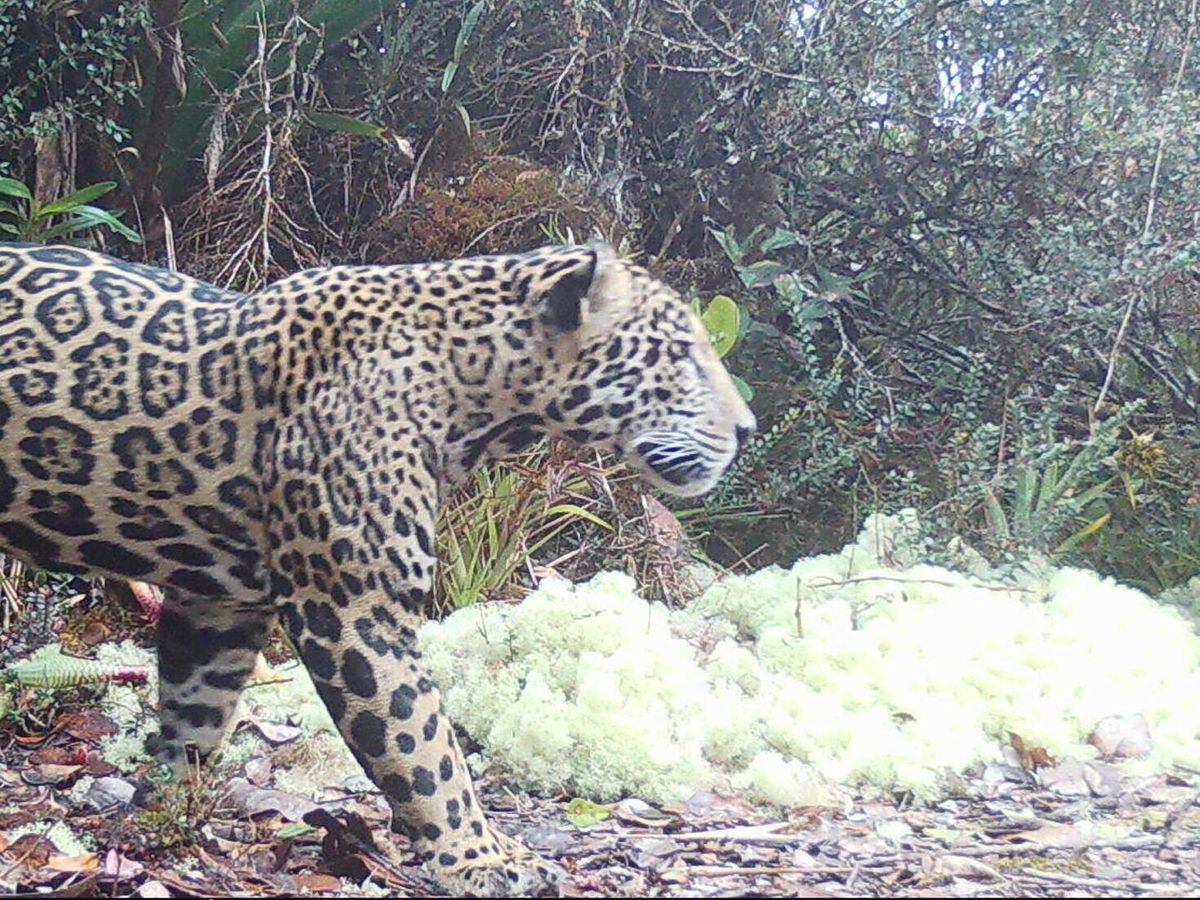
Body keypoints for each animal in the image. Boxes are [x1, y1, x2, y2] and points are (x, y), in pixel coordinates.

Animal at [0, 240, 755, 896]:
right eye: (680, 355)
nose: (747, 430)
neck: (476, 391)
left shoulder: (218, 605)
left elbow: (196, 712)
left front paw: (167, 816)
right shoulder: (355, 609)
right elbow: (426, 750)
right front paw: (481, 858)